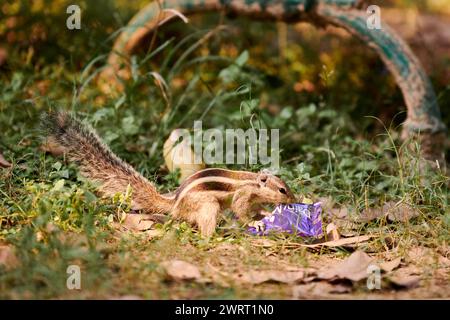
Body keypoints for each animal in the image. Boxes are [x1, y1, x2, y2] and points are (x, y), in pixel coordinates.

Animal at [40, 111, 298, 236]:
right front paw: (255, 222)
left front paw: (266, 214)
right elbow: (240, 210)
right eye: (282, 190)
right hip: (207, 206)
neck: (253, 183)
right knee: (204, 227)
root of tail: (174, 203)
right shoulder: (242, 196)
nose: (293, 201)